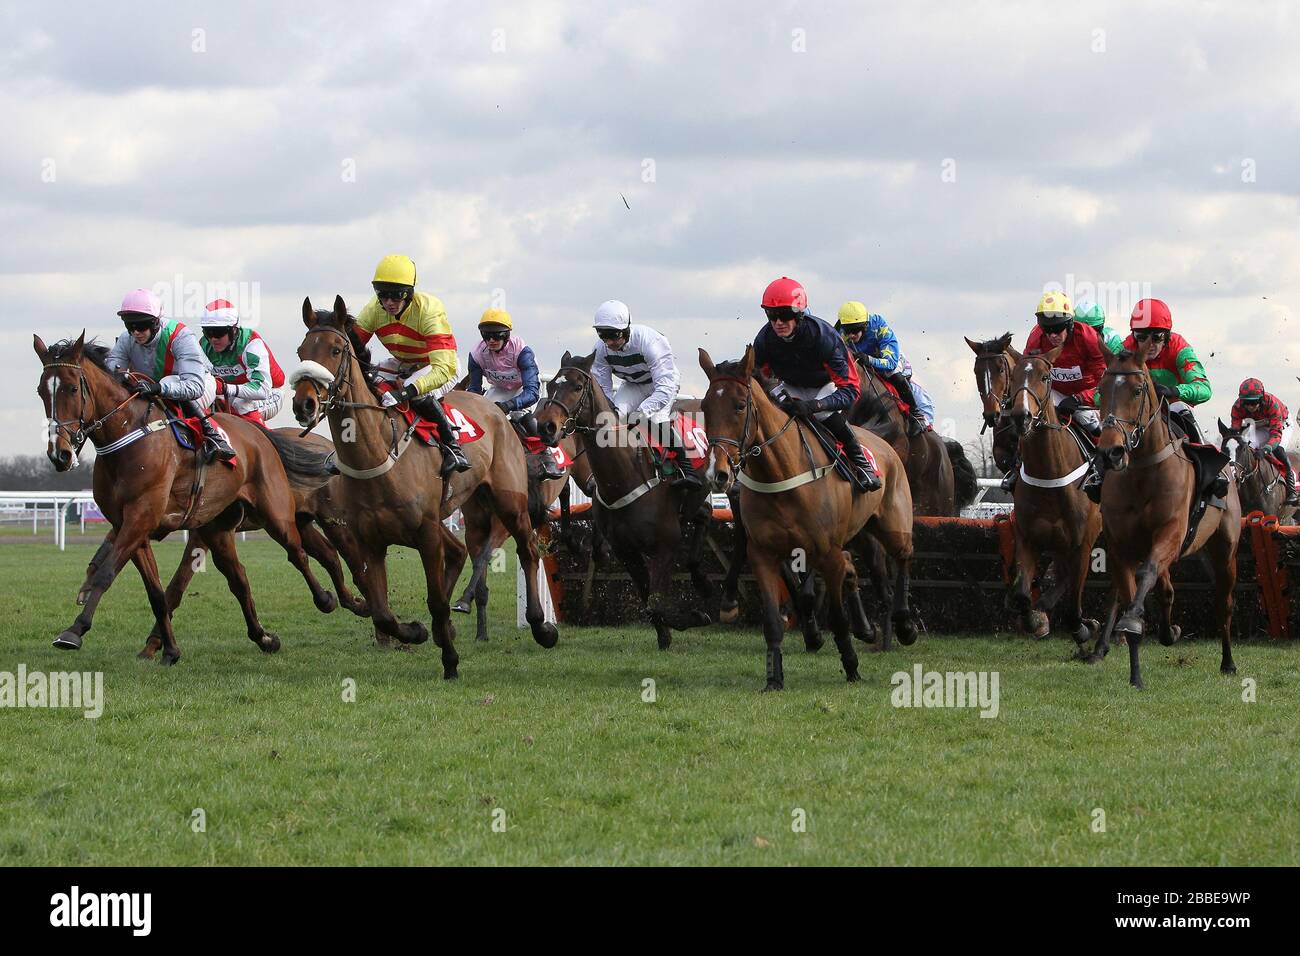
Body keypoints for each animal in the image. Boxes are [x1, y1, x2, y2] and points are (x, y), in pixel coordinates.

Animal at [36, 332, 340, 660]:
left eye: (71, 387)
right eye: (41, 391)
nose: (60, 454)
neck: (126, 438)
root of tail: (259, 435)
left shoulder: (141, 517)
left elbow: (109, 574)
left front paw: (75, 630)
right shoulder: (130, 526)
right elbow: (156, 591)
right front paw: (169, 649)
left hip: (276, 513)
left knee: (298, 553)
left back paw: (328, 600)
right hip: (217, 526)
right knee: (240, 577)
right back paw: (265, 638)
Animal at [289, 295, 559, 676]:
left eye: (337, 349)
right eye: (301, 351)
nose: (304, 404)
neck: (378, 456)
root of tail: (495, 408)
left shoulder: (427, 534)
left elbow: (436, 601)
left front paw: (450, 661)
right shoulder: (371, 541)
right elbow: (383, 612)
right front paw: (415, 631)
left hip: (509, 502)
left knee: (528, 550)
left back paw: (540, 626)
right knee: (463, 552)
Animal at [696, 348, 920, 691]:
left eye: (740, 405)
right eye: (705, 407)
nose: (717, 473)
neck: (781, 474)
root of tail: (882, 442)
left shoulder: (824, 552)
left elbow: (837, 617)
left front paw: (851, 665)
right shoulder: (763, 554)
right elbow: (774, 620)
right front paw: (774, 677)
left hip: (892, 524)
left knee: (903, 556)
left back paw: (904, 625)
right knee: (855, 565)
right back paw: (868, 629)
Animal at [998, 343, 1102, 642]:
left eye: (1045, 377)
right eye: (1014, 377)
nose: (1021, 416)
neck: (1051, 476)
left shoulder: (1082, 544)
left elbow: (1073, 609)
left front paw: (1083, 627)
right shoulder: (1027, 538)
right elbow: (1023, 595)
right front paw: (1035, 618)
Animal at [1081, 348, 1242, 691]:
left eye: (1137, 391)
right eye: (1101, 389)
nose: (1110, 453)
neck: (1143, 472)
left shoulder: (1170, 533)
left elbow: (1147, 576)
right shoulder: (1120, 547)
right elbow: (1133, 595)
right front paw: (1136, 675)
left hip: (1225, 550)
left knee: (1224, 603)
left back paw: (1228, 663)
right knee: (1166, 590)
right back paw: (1170, 633)